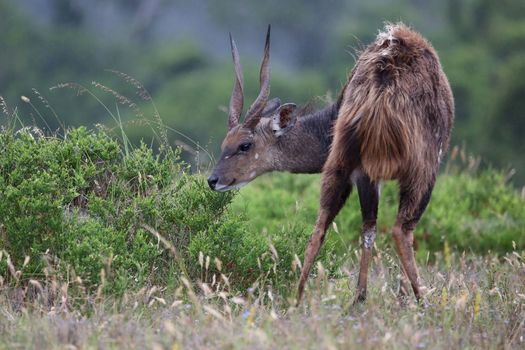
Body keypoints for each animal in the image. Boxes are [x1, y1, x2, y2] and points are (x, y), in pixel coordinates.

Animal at [207, 23, 452, 304]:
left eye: (244, 145)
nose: (212, 180)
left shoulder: (362, 174)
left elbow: (366, 229)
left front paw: (361, 297)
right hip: (420, 172)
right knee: (402, 230)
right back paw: (422, 301)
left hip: (341, 166)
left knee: (322, 228)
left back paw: (300, 300)